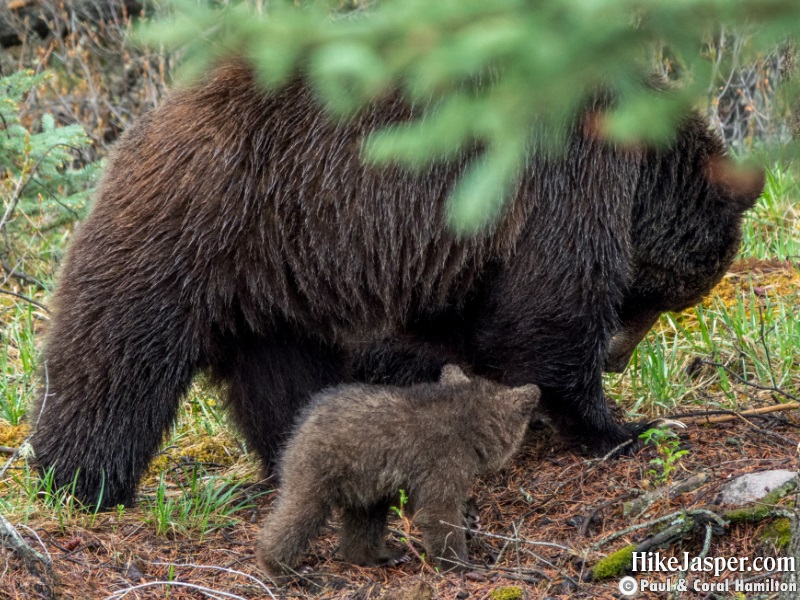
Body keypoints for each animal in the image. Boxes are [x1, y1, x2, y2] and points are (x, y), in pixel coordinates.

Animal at [31, 61, 764, 506]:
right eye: (655, 296)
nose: (618, 356)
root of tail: (143, 126)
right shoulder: (560, 183)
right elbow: (546, 312)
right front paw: (621, 428)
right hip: (196, 228)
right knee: (116, 360)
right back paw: (78, 482)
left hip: (276, 288)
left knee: (282, 380)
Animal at [260, 364, 540, 576]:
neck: (468, 426)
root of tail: (300, 423)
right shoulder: (442, 460)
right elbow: (437, 512)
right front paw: (463, 565)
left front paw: (471, 516)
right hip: (319, 469)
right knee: (300, 512)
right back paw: (281, 568)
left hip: (364, 482)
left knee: (365, 518)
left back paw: (379, 556)